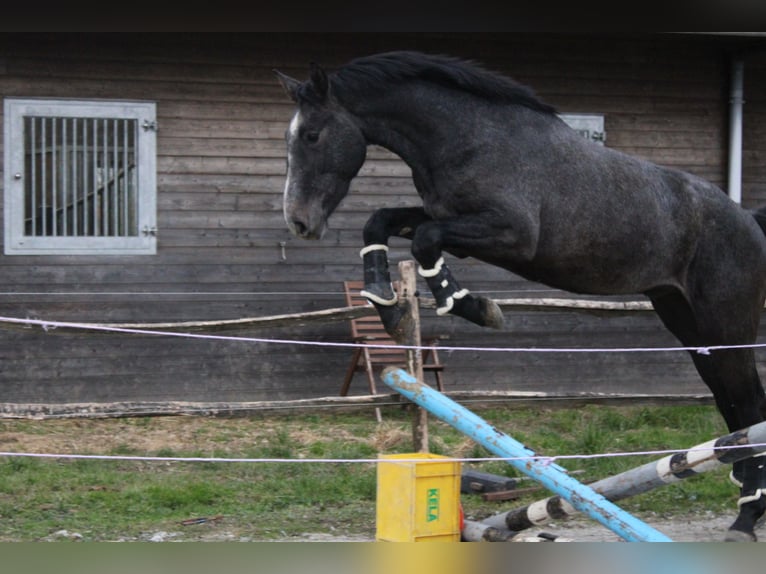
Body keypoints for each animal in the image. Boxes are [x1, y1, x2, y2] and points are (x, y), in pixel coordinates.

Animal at [280, 51, 766, 544]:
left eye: (312, 135)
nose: (300, 222)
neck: (469, 138)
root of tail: (748, 220)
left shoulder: (511, 234)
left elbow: (425, 239)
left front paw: (473, 307)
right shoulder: (452, 221)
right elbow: (382, 222)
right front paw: (387, 303)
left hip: (726, 323)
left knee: (747, 402)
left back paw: (746, 517)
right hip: (688, 323)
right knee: (730, 403)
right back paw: (747, 495)